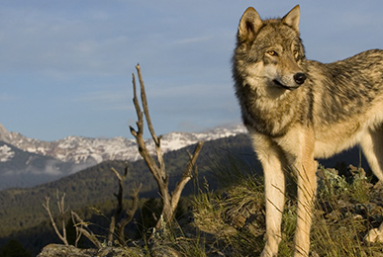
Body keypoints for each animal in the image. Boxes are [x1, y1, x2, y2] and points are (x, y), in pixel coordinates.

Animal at [232, 4, 383, 256]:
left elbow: (301, 227)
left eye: (295, 53)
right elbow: (272, 226)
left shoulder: (304, 164)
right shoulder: (270, 163)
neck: (272, 109)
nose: (300, 77)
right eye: (272, 53)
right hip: (373, 155)